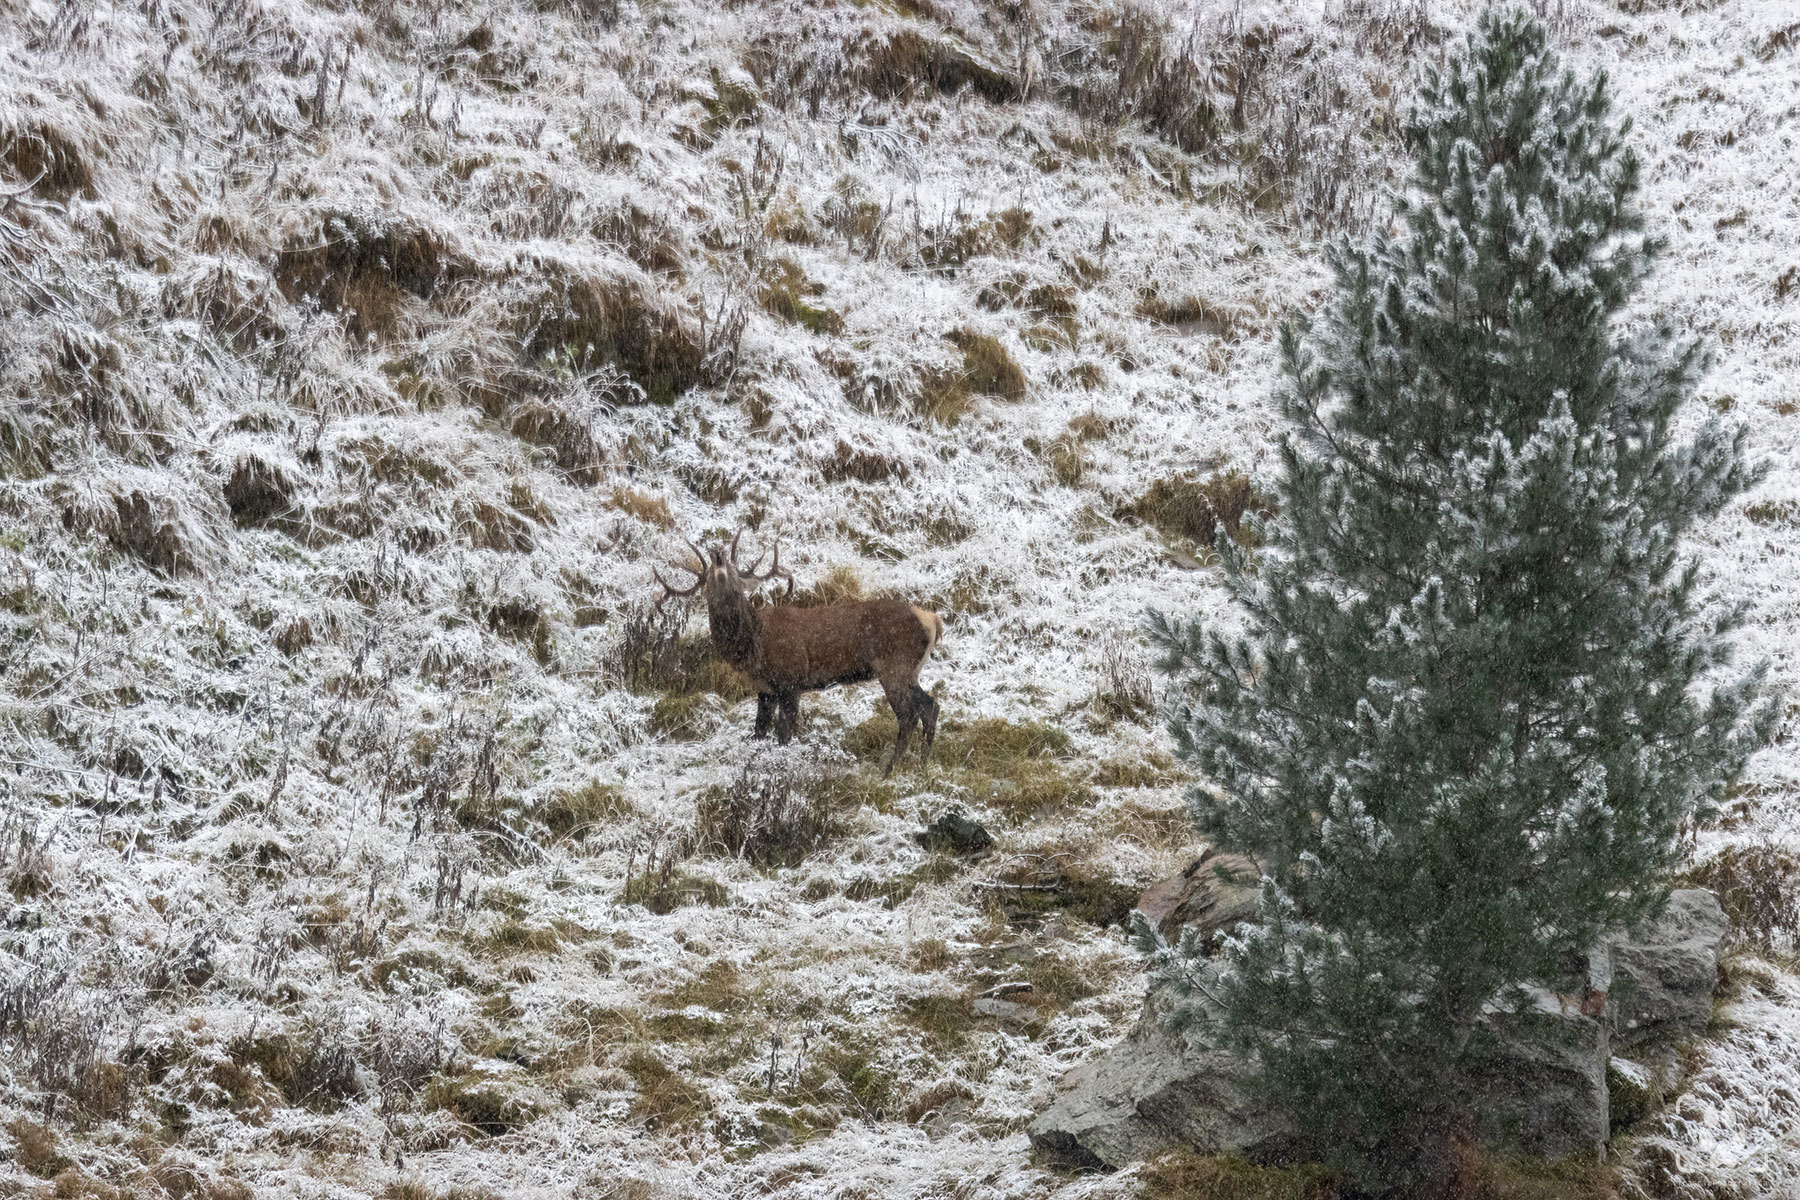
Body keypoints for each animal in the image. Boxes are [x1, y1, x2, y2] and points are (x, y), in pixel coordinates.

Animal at [654, 532, 943, 778]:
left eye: (736, 573)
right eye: (707, 581)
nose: (718, 555)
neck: (753, 647)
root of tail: (933, 620)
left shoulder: (791, 681)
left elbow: (784, 734)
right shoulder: (766, 689)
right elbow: (759, 731)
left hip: (894, 666)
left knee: (908, 715)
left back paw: (889, 771)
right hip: (909, 670)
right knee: (931, 705)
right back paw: (923, 764)